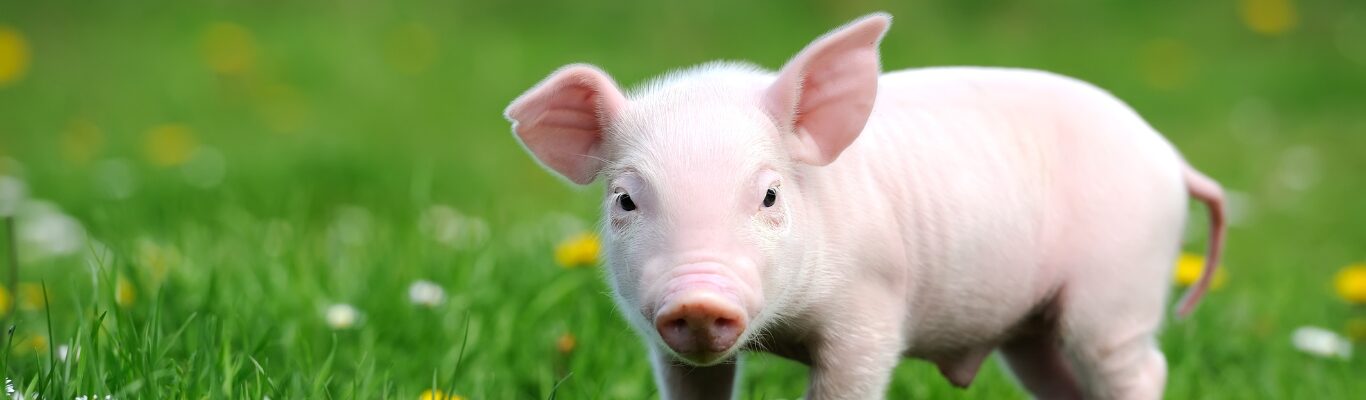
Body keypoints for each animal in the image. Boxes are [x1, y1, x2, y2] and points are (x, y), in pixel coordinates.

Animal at [504, 12, 1226, 400]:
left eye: (770, 194)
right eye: (625, 199)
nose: (699, 299)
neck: (784, 327)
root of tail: (1172, 158)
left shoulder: (871, 308)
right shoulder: (667, 345)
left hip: (1118, 288)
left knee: (1140, 364)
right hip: (1036, 328)